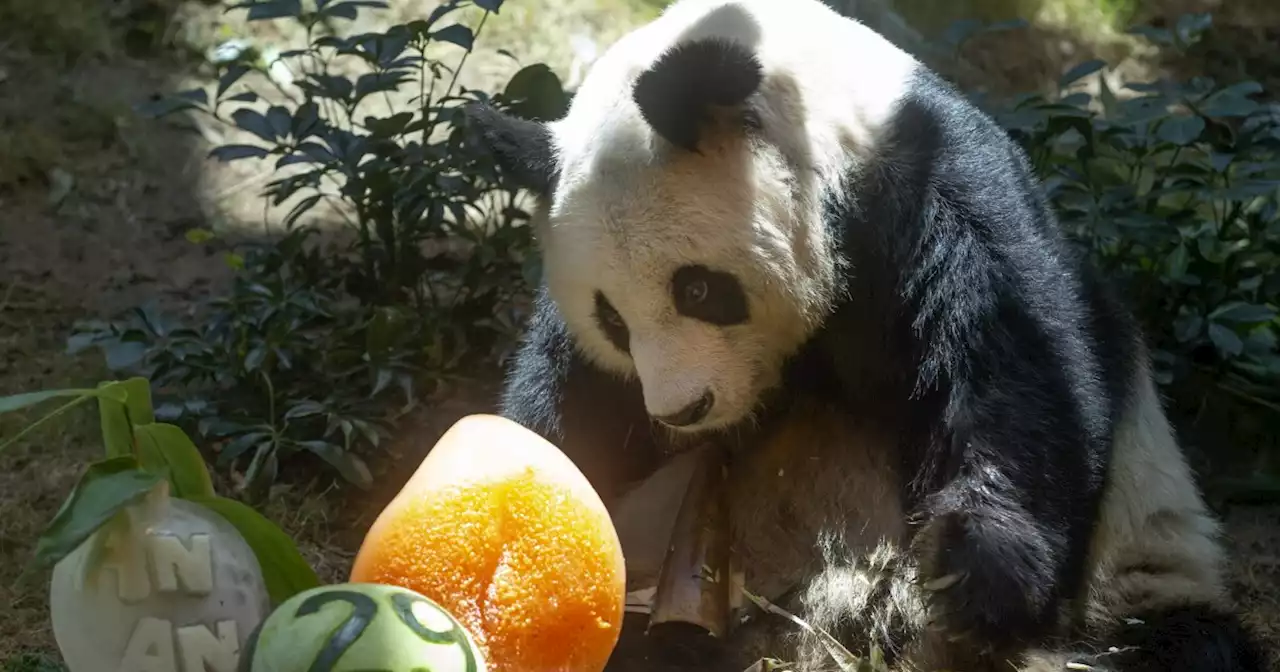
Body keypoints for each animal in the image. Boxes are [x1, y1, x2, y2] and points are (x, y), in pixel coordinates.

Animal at [463, 0, 1269, 665]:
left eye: (697, 289)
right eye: (612, 318)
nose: (682, 410)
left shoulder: (932, 192)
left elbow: (1017, 369)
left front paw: (971, 571)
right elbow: (567, 405)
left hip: (1140, 566)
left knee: (1182, 644)